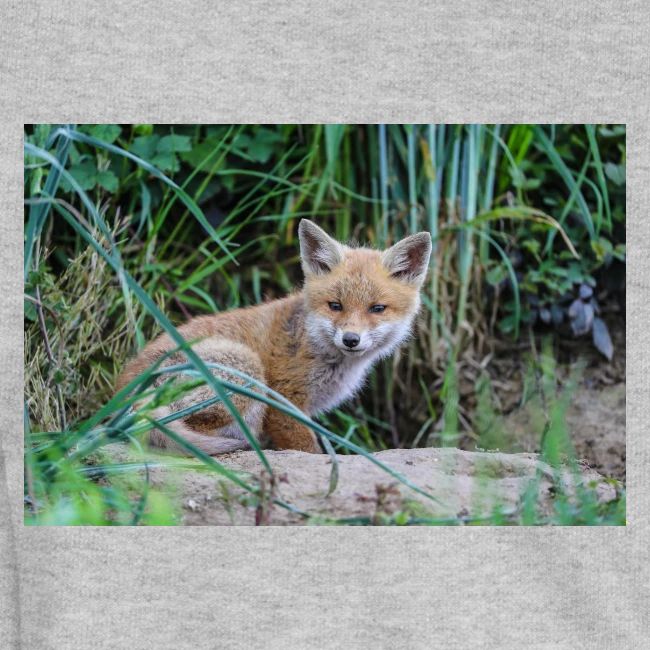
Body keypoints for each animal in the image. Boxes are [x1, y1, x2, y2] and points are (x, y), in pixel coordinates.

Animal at [117, 219, 432, 455]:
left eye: (377, 309)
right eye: (335, 306)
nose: (351, 339)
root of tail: (125, 394)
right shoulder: (283, 402)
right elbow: (308, 449)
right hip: (246, 370)